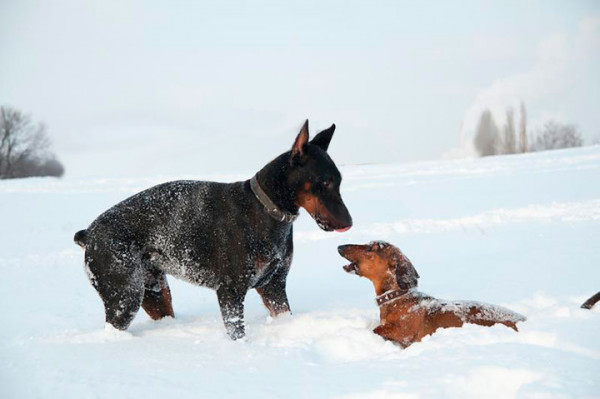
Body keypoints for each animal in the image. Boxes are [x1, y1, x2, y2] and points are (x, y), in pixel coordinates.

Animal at [74, 120, 352, 340]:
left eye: (339, 181)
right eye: (326, 182)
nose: (349, 222)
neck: (266, 210)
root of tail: (89, 233)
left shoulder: (274, 286)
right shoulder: (230, 292)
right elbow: (237, 332)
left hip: (155, 292)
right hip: (125, 295)